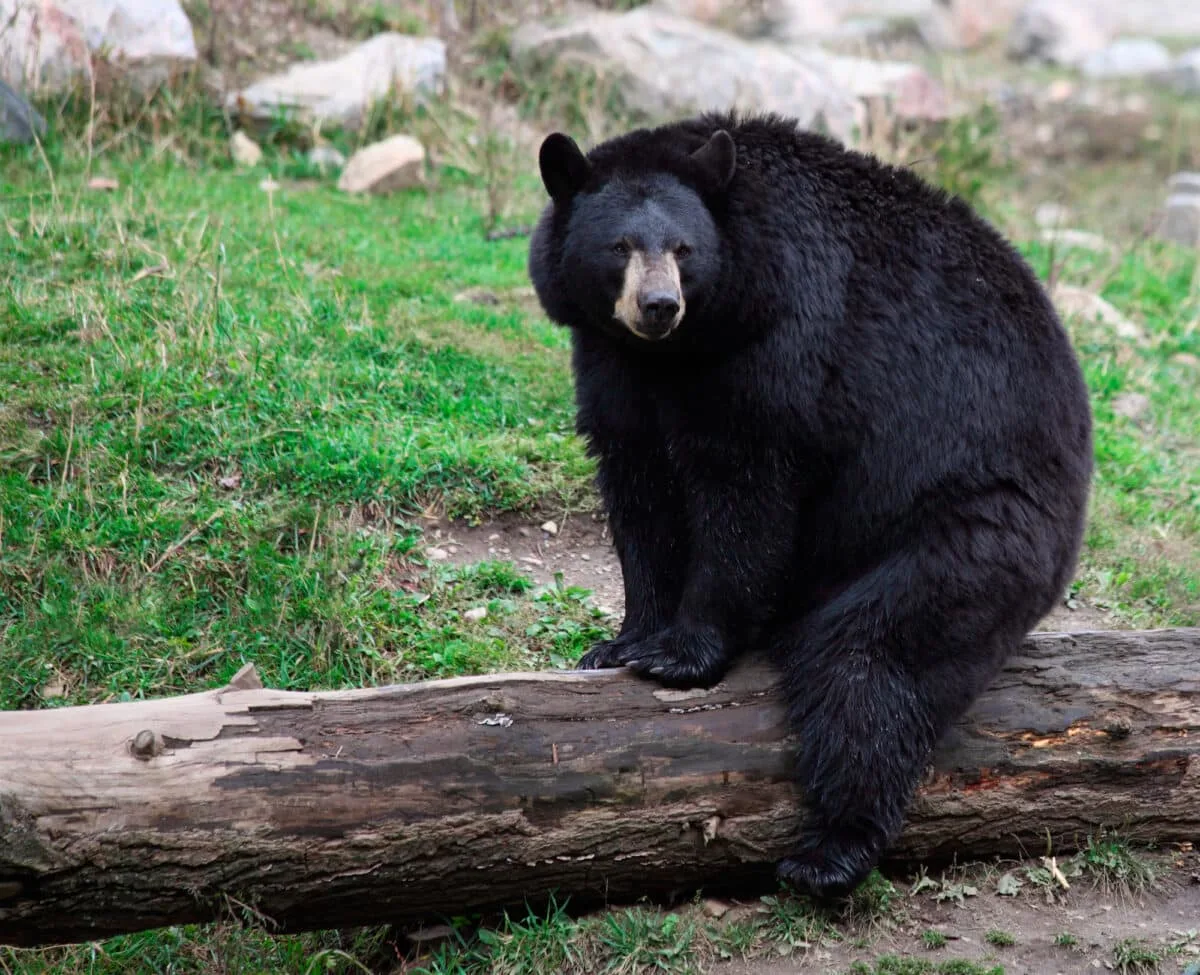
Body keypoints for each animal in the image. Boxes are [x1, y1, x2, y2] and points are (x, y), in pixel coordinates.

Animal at [530, 112, 1094, 898]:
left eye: (684, 248)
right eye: (620, 246)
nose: (658, 306)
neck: (685, 347)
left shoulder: (779, 343)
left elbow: (745, 491)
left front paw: (681, 652)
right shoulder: (613, 361)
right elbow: (639, 488)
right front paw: (621, 642)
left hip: (967, 527)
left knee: (868, 669)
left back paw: (829, 852)